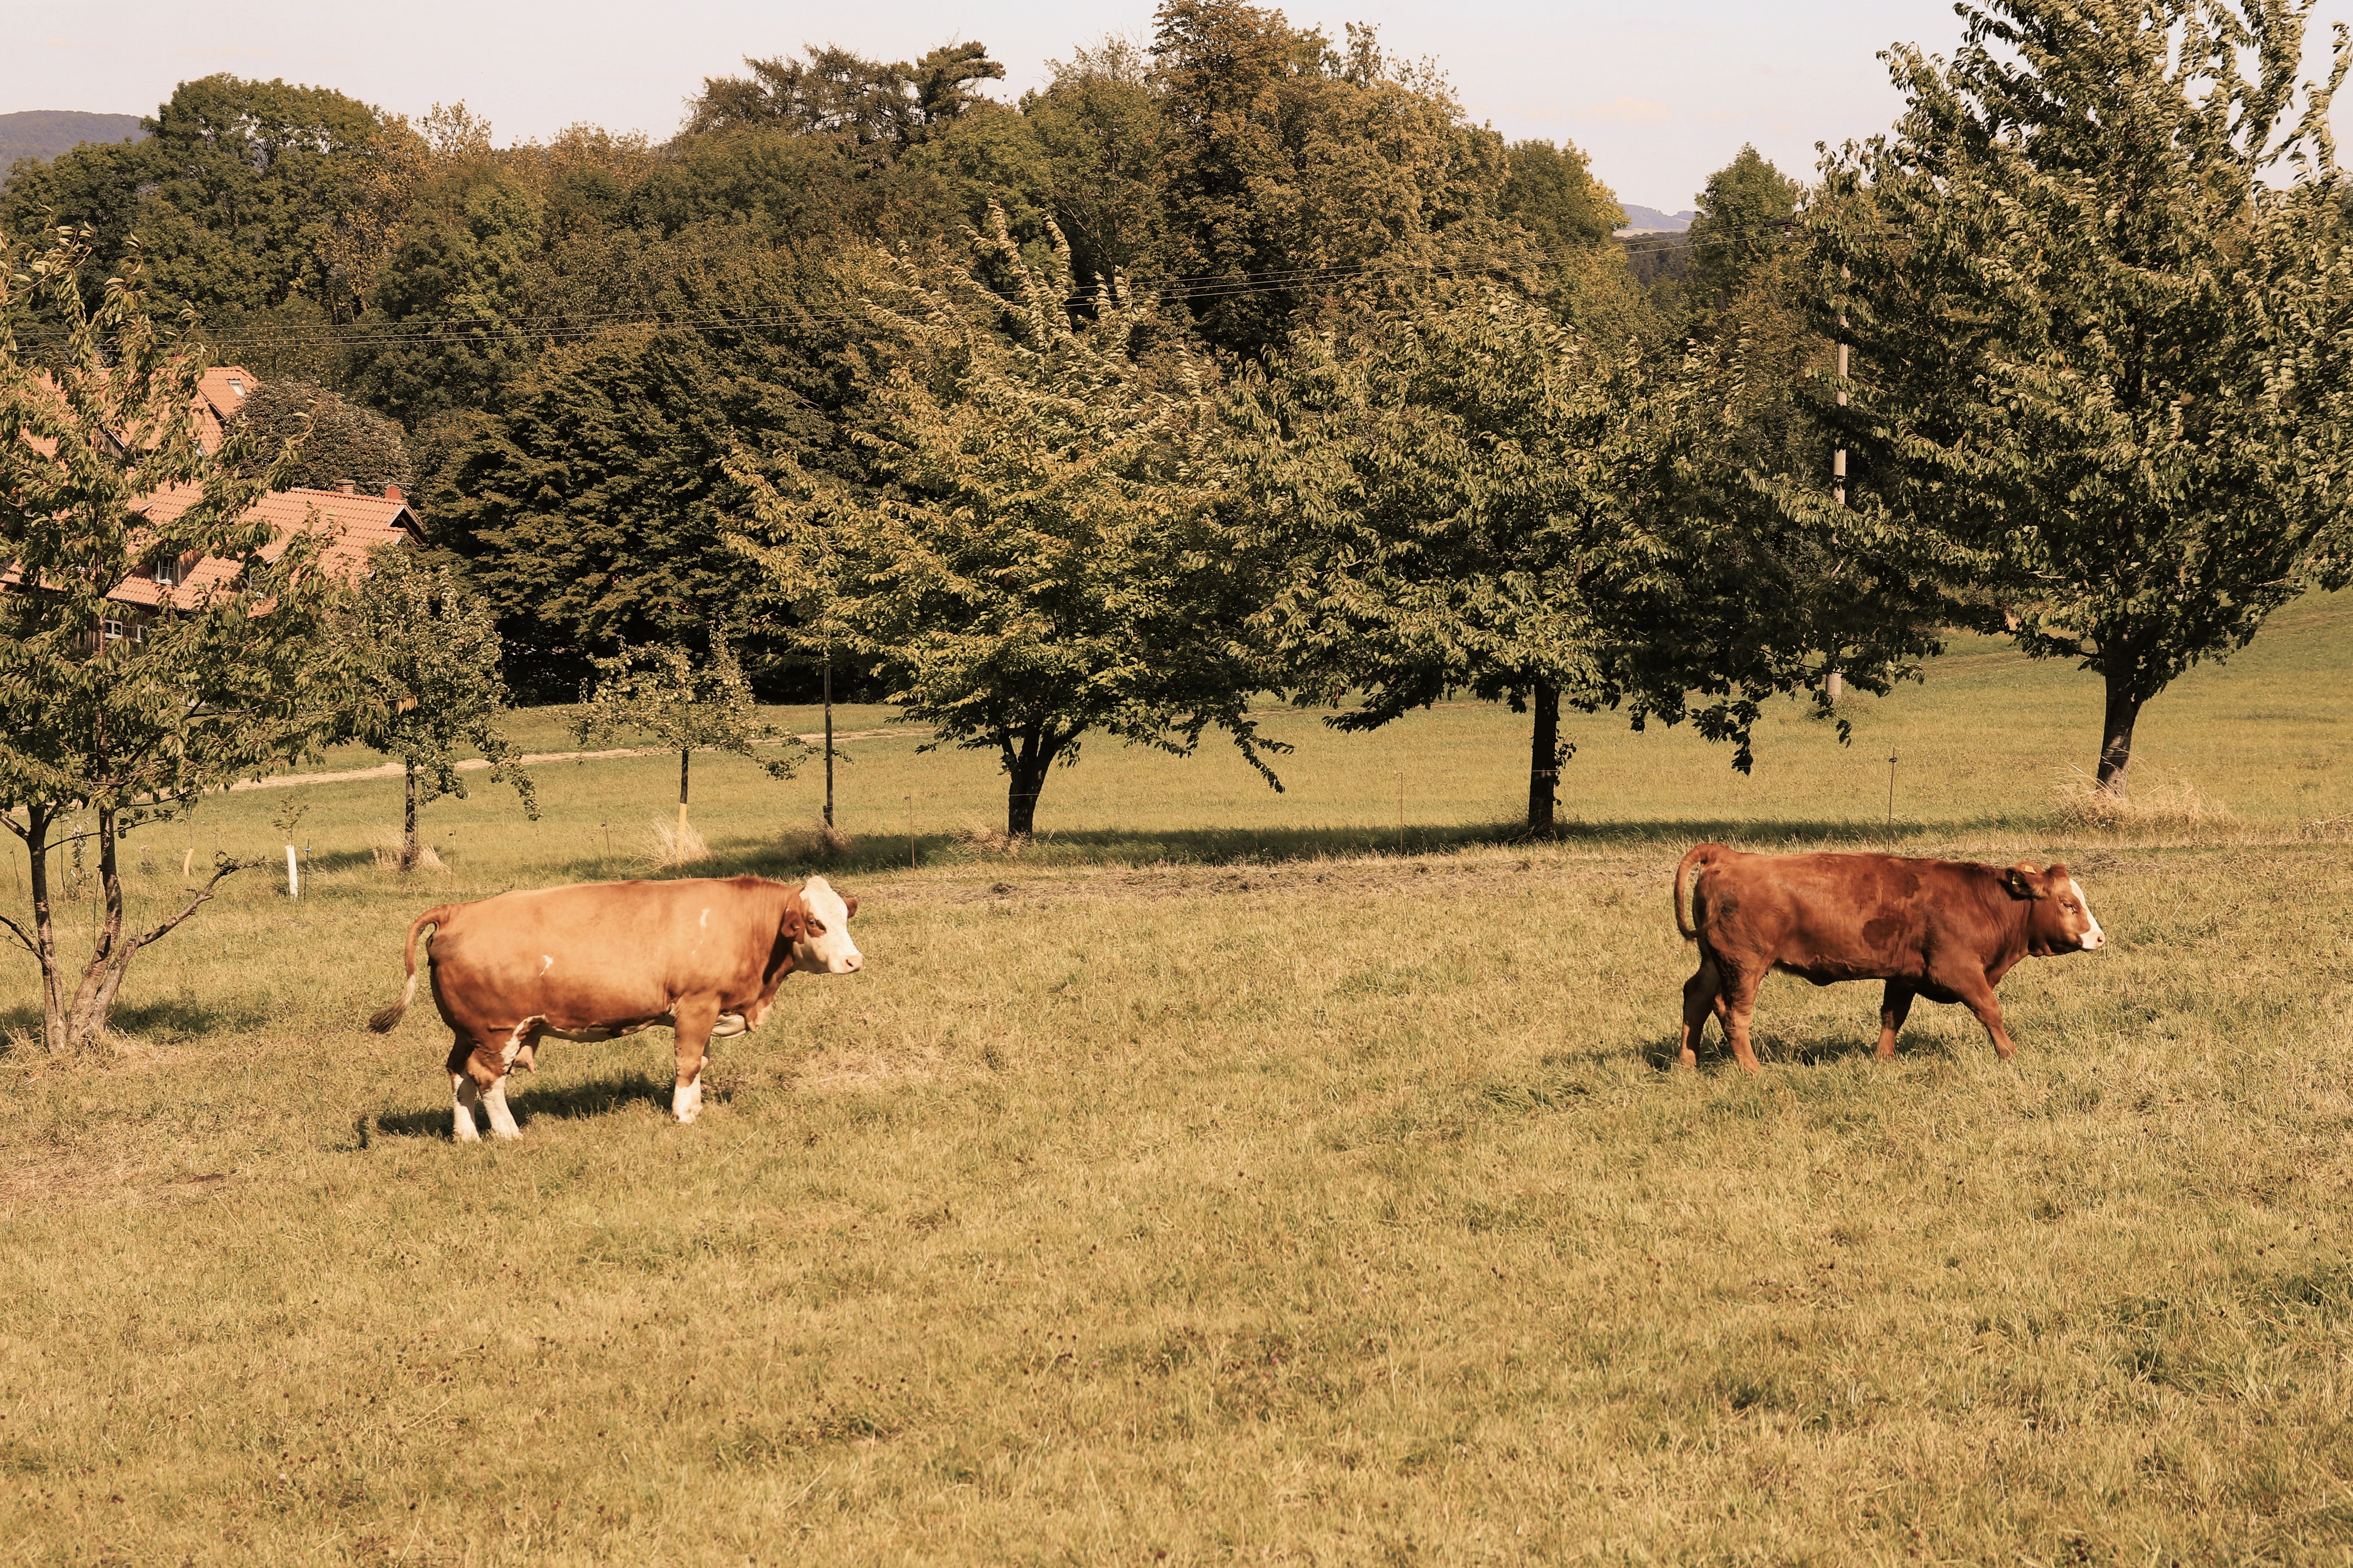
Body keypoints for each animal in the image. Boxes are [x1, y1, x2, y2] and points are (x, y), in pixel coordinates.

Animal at [365, 873, 862, 1141]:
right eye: (815, 922)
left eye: (845, 916)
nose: (854, 961)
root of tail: (459, 911)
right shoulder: (697, 1005)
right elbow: (687, 1063)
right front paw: (683, 1113)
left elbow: (700, 1062)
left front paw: (697, 1108)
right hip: (497, 1032)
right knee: (487, 1078)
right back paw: (508, 1133)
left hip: (466, 1031)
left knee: (458, 1073)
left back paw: (466, 1135)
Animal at [1672, 844, 2105, 1071]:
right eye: (2068, 904)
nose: (2099, 938)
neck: (1983, 902)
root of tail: (1727, 855)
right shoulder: (1958, 970)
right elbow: (1990, 1010)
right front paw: (2009, 1053)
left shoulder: (1904, 976)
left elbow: (1892, 1017)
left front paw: (1882, 1059)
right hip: (1745, 965)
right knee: (1733, 1013)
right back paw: (1753, 1069)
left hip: (1715, 962)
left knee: (1696, 998)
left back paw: (1688, 1063)